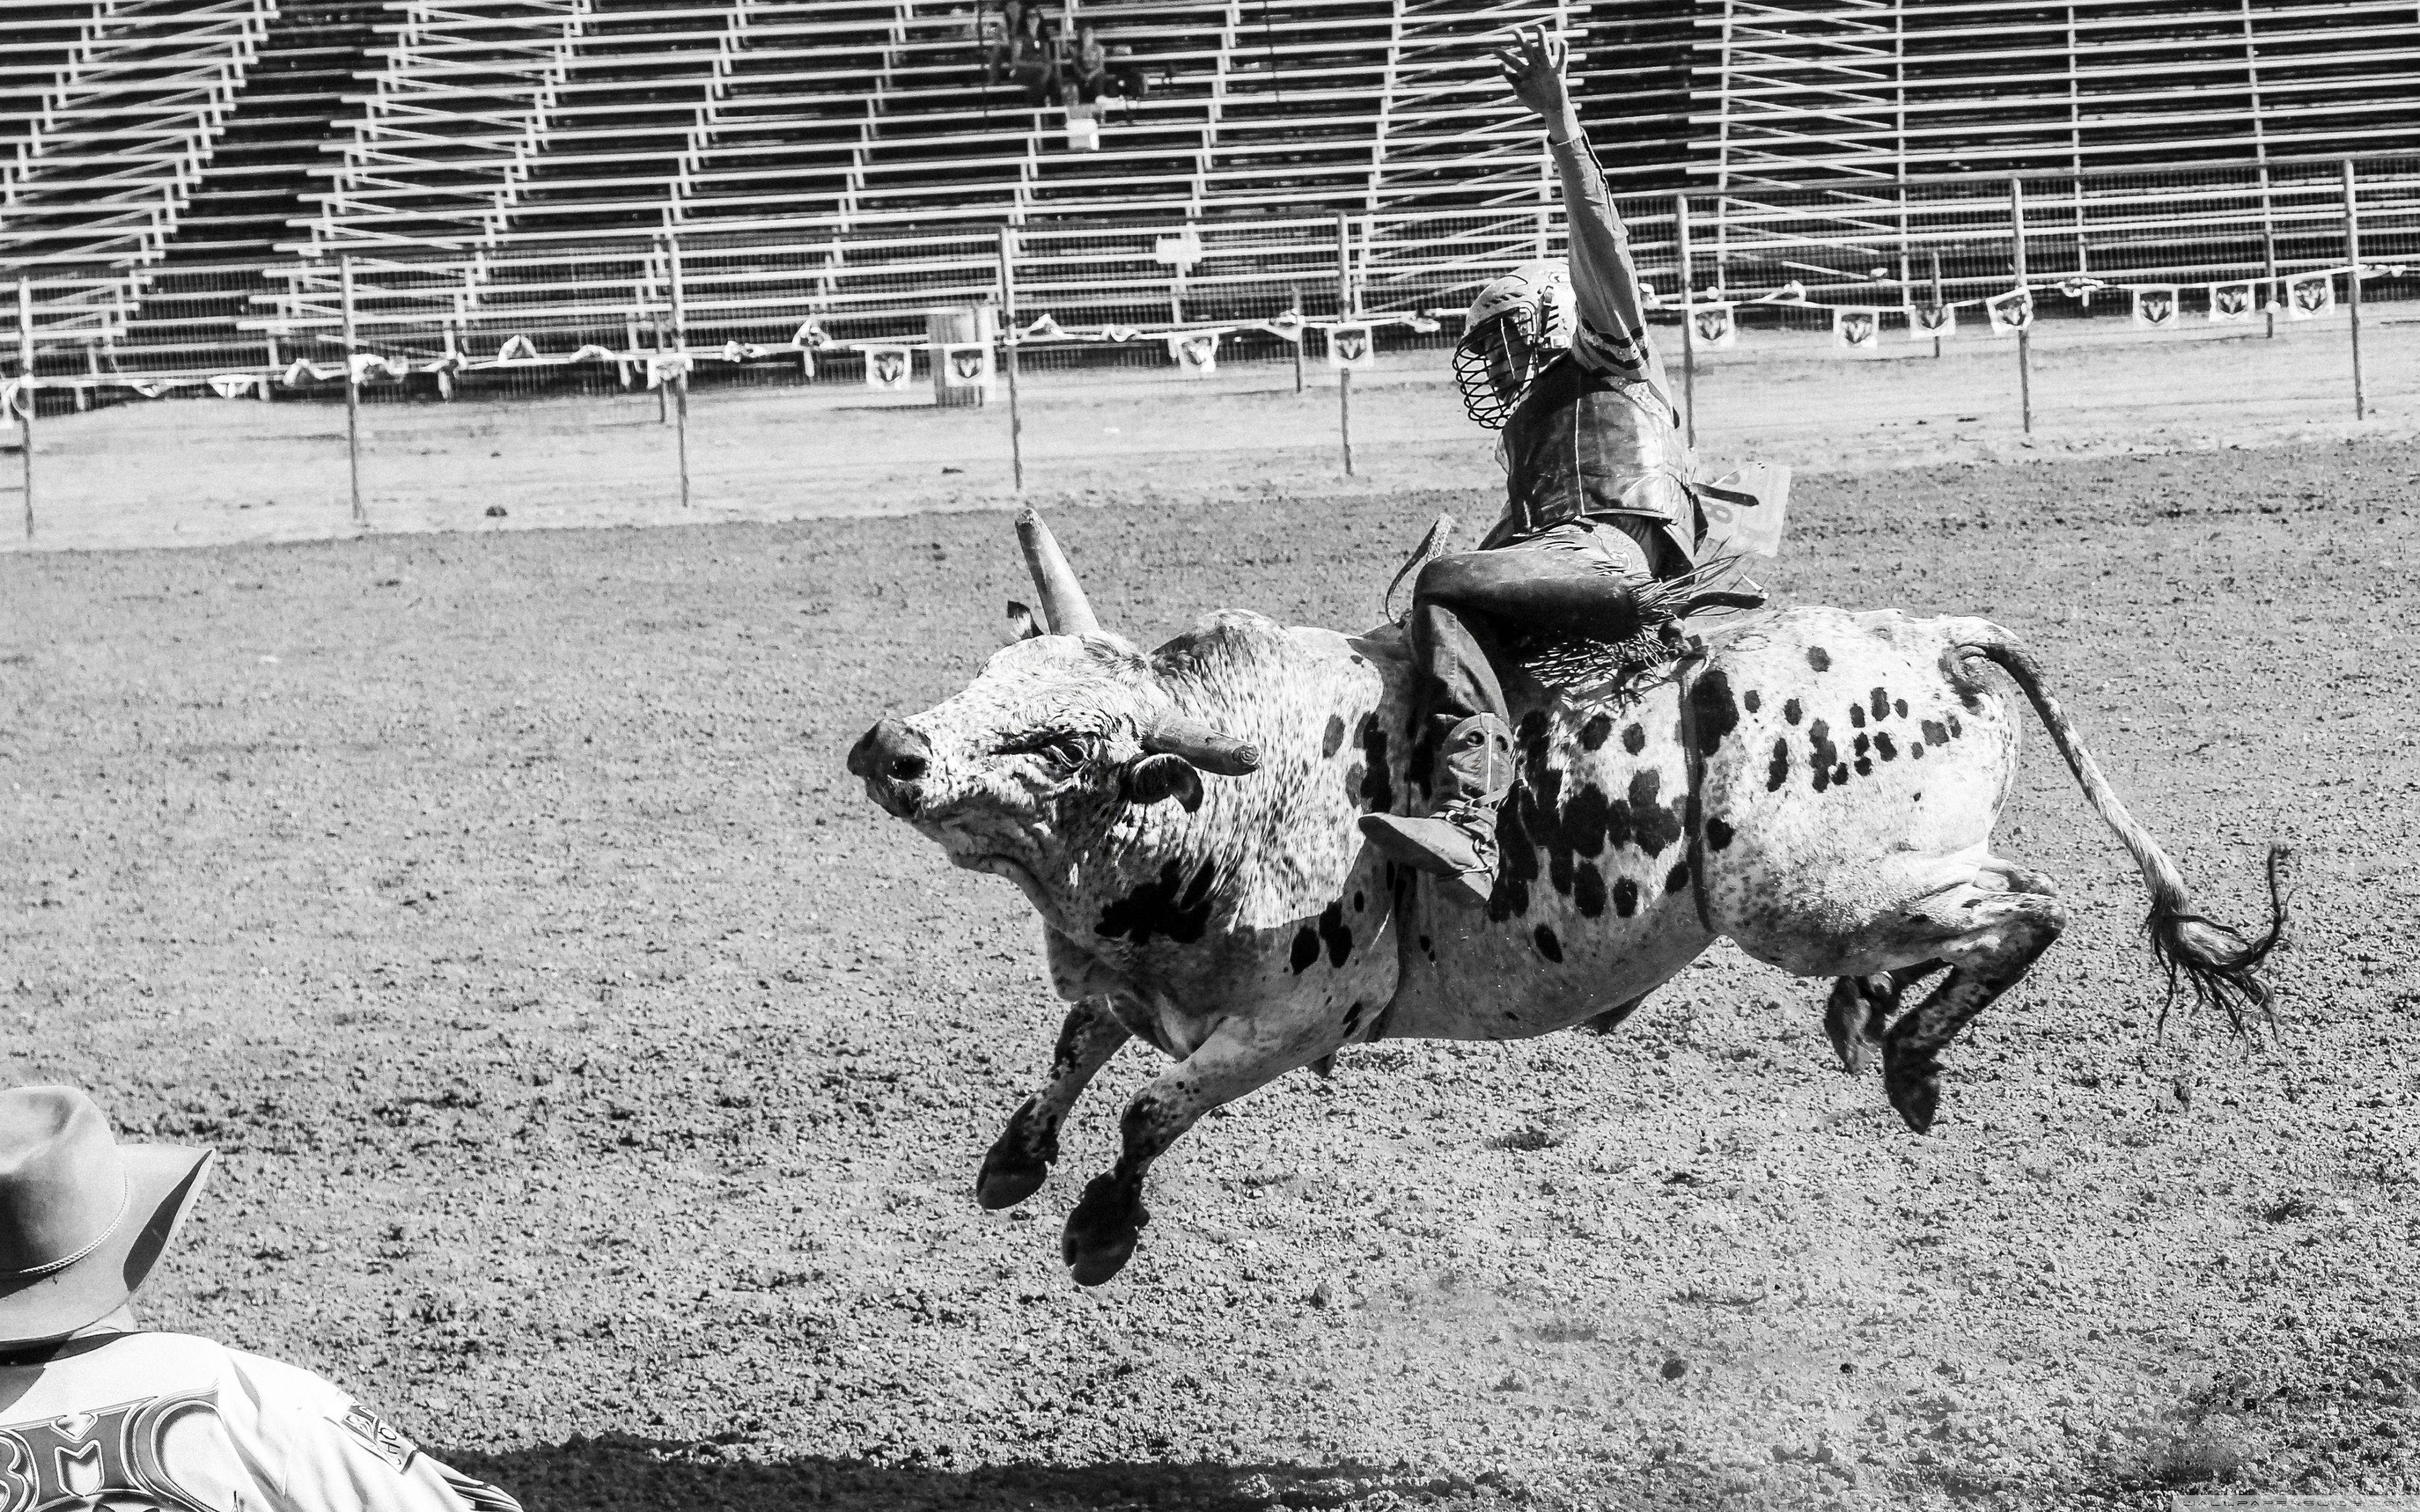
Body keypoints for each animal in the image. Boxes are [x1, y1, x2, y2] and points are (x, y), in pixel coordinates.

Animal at [851, 510, 2284, 1286]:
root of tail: (1934, 639)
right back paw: (1881, 1017)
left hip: (1794, 893)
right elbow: (1077, 1048)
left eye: (1063, 742)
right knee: (1977, 917)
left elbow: (1150, 1108)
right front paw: (1013, 1158)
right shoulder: (1128, 984)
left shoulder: (1302, 1021)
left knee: (2031, 901)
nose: (892, 748)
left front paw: (1100, 1225)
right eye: (989, 678)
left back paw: (1912, 1052)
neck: (1228, 788)